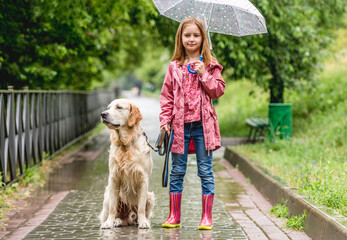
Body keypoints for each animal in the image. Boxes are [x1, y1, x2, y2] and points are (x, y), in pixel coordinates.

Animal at [98, 99, 154, 229]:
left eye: (119, 107)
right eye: (108, 107)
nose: (103, 114)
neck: (126, 144)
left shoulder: (143, 179)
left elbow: (141, 208)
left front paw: (143, 222)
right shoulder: (113, 178)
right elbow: (113, 208)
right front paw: (108, 223)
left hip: (150, 196)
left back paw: (140, 220)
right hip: (107, 195)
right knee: (117, 214)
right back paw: (116, 221)